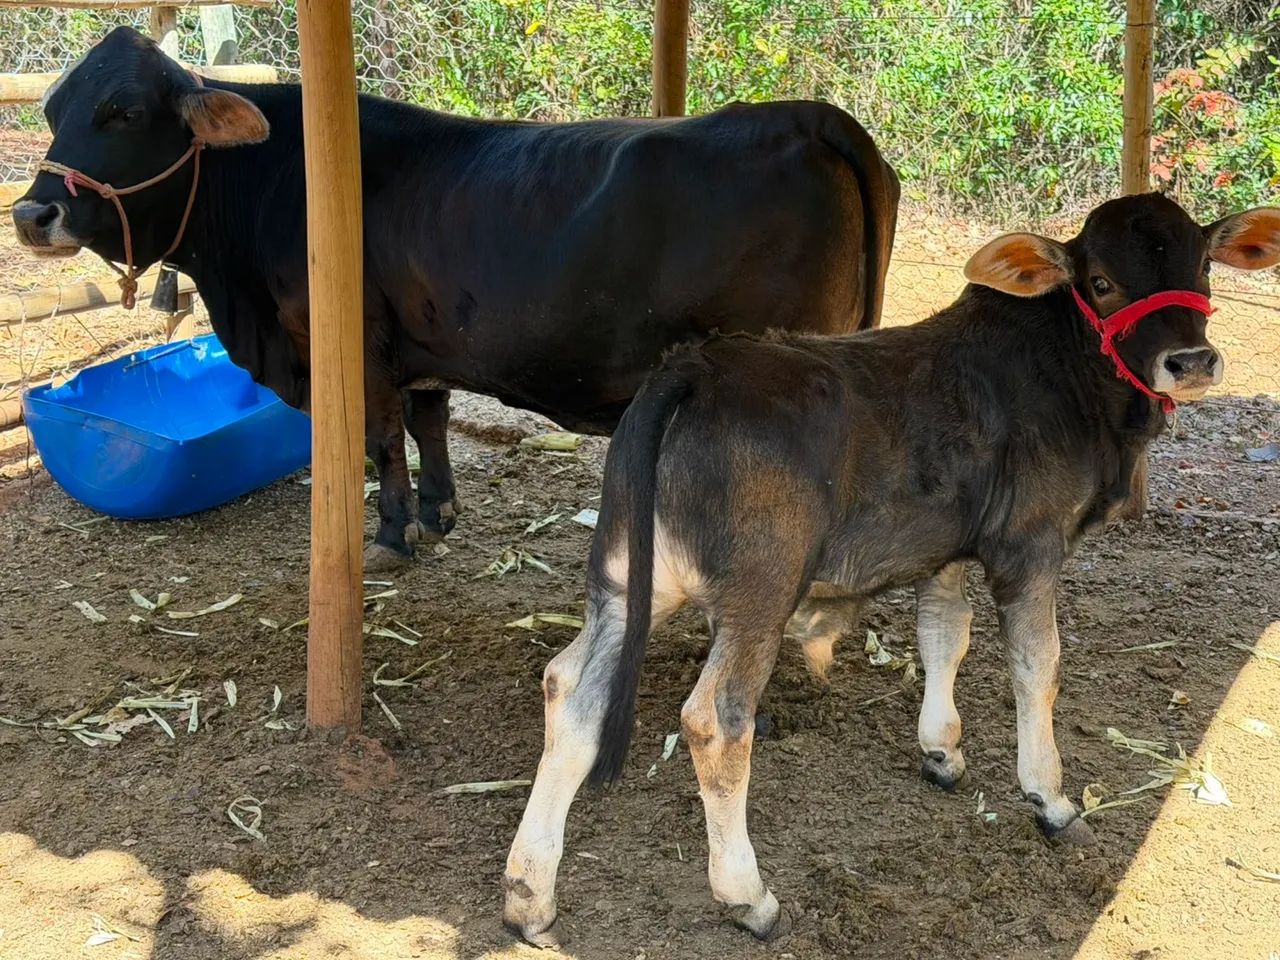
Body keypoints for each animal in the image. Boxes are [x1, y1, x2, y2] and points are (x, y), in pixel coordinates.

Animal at [11, 27, 899, 570]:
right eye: (52, 108)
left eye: (123, 112)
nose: (31, 212)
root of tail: (811, 118)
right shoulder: (425, 341)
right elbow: (428, 423)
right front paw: (438, 511)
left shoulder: (351, 341)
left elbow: (380, 438)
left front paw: (391, 532)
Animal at [502, 193, 1280, 946]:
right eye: (1101, 282)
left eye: (1203, 264)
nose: (1192, 361)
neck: (1070, 380)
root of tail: (693, 369)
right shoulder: (1030, 546)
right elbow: (1039, 668)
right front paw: (1052, 800)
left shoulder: (944, 548)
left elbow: (944, 636)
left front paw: (941, 753)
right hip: (761, 588)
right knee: (714, 721)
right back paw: (748, 897)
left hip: (625, 580)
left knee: (568, 689)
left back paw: (528, 895)